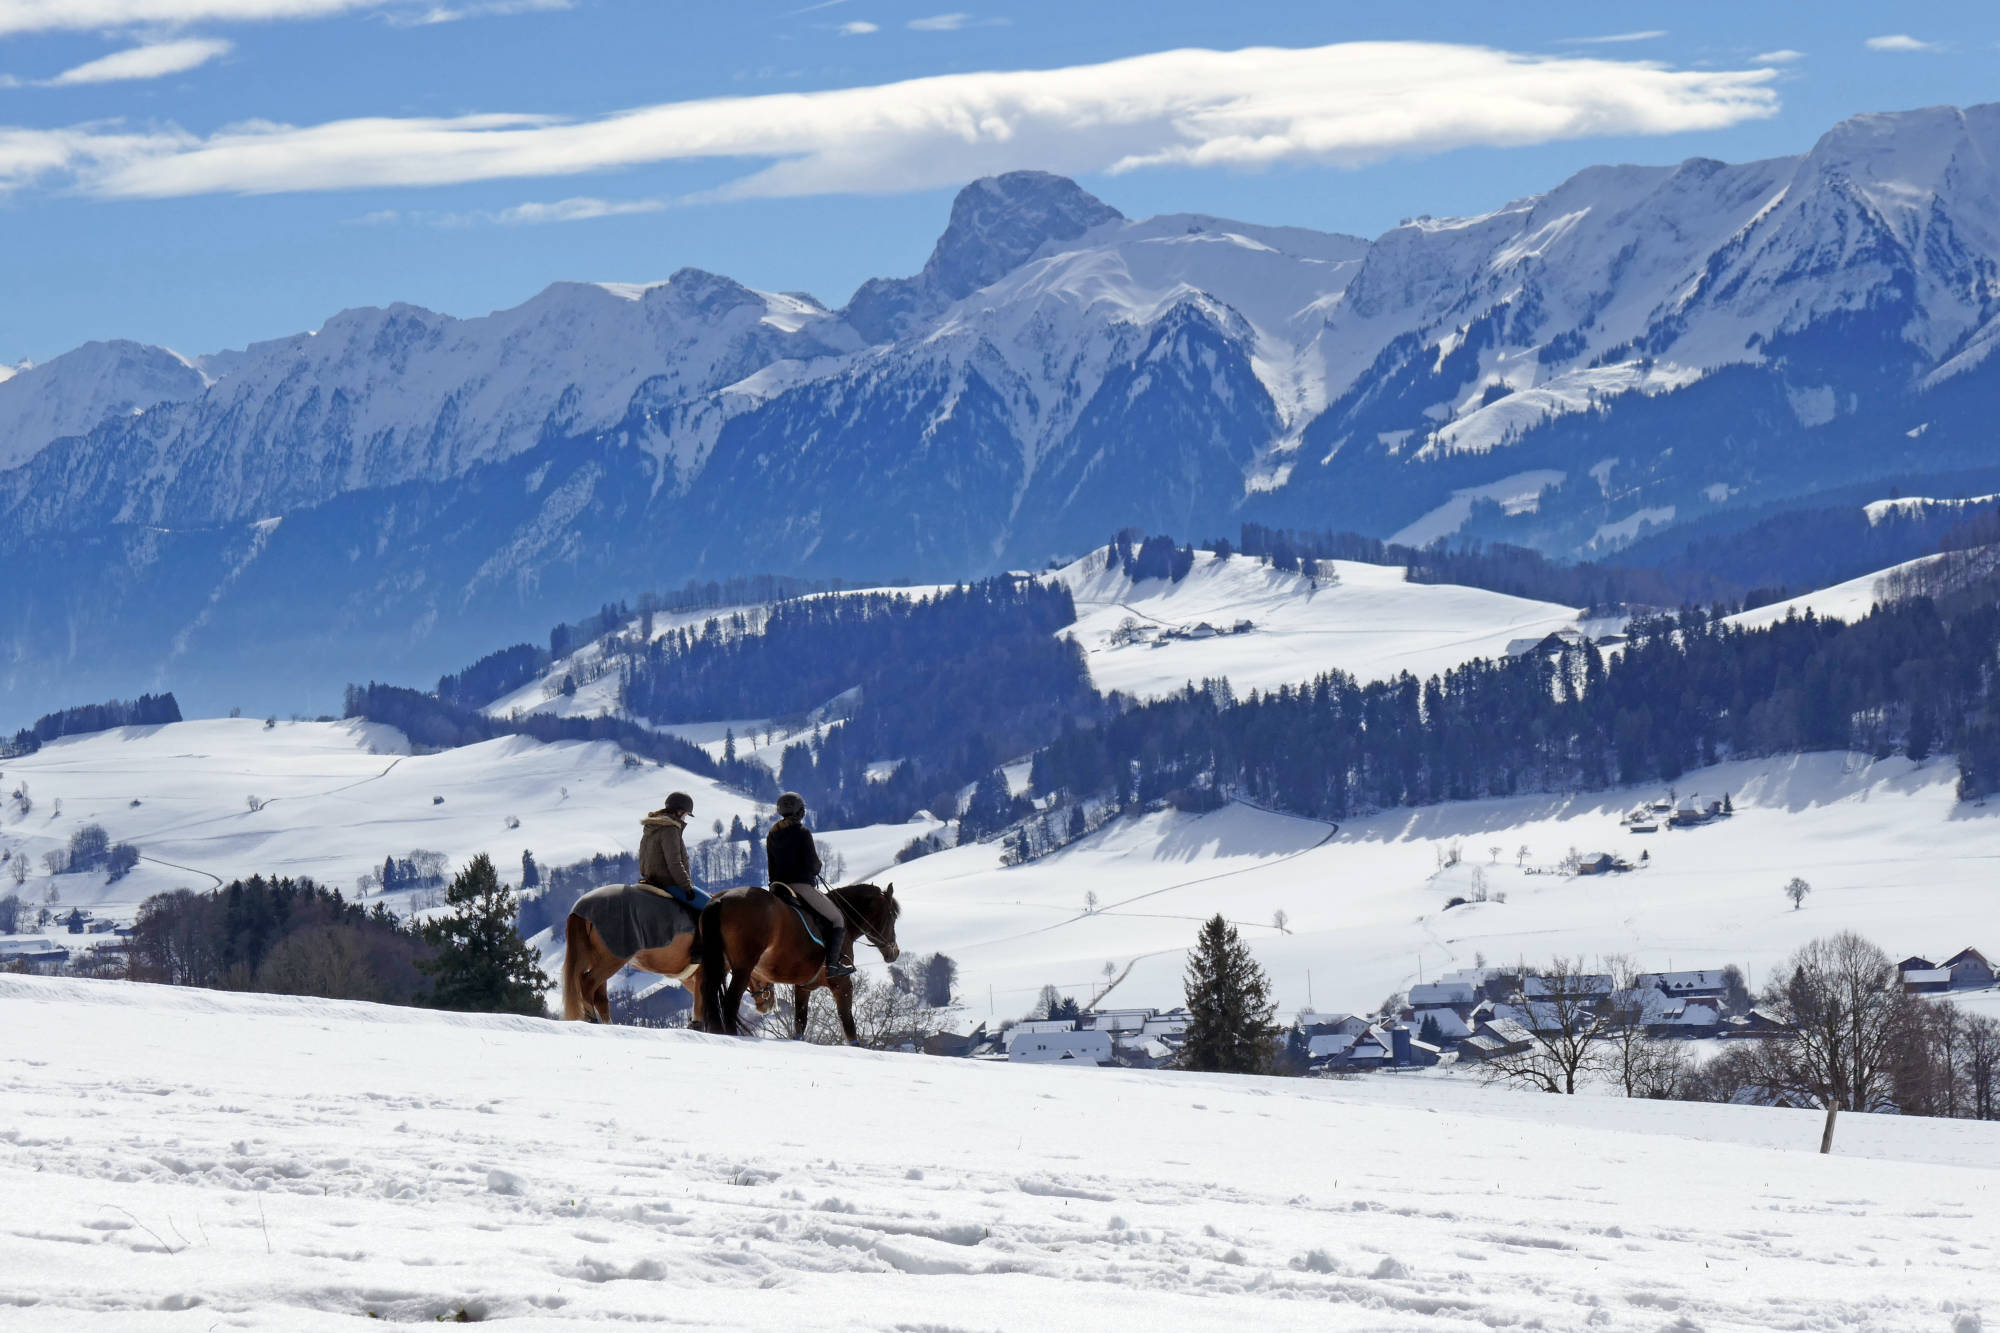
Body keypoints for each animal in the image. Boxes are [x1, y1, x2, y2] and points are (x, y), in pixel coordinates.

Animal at [561, 883, 710, 1027]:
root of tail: (582, 908)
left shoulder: (690, 978)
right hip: (613, 959)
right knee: (588, 983)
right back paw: (592, 1019)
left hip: (599, 959)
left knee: (599, 996)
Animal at [696, 882, 901, 1041]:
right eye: (892, 915)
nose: (895, 952)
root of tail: (721, 899)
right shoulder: (841, 984)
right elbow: (848, 1025)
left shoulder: (803, 987)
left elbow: (800, 1024)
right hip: (743, 969)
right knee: (730, 1003)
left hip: (721, 966)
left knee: (709, 995)